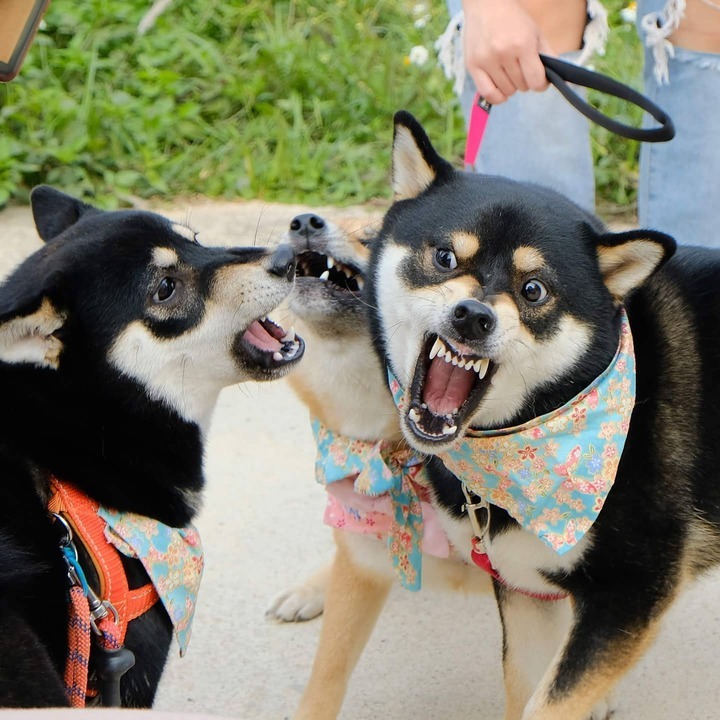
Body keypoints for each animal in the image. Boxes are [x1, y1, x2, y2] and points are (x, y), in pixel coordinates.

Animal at [361, 110, 720, 720]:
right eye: (445, 257)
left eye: (533, 290)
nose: (473, 316)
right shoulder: (525, 586)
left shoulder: (631, 593)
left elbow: (551, 703)